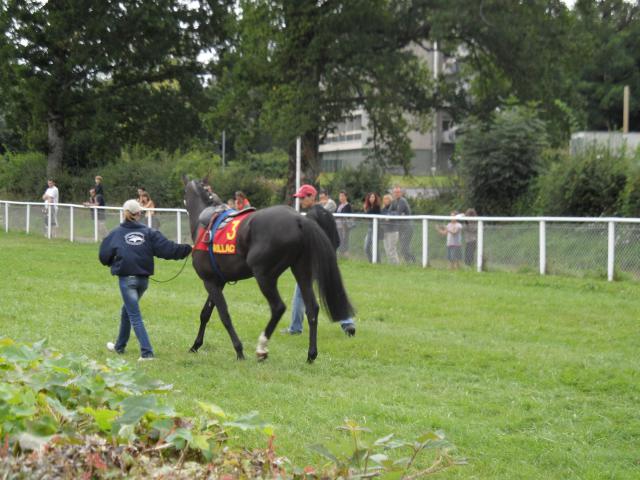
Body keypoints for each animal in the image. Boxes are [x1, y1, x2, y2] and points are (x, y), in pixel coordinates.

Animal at [184, 178, 356, 362]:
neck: (204, 223)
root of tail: (299, 219)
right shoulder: (217, 282)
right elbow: (205, 313)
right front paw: (195, 345)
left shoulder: (209, 281)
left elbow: (224, 315)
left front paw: (239, 350)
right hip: (302, 271)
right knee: (312, 308)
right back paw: (311, 354)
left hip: (264, 276)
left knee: (278, 307)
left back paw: (262, 347)